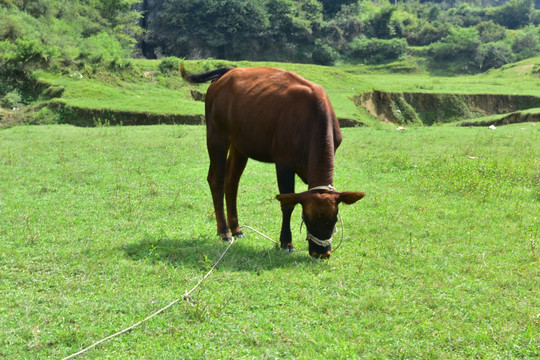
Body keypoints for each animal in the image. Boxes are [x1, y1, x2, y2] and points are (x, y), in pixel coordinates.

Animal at [182, 66, 368, 258]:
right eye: (306, 218)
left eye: (334, 219)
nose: (321, 253)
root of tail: (228, 72)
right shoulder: (284, 162)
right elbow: (287, 203)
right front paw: (286, 242)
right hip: (216, 135)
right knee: (216, 179)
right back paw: (224, 231)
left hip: (240, 145)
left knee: (231, 181)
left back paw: (236, 229)